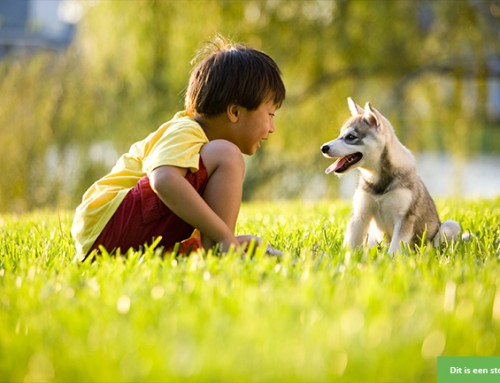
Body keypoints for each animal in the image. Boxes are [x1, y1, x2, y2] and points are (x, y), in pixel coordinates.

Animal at [322, 98, 458, 255]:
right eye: (340, 135)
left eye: (351, 137)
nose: (324, 148)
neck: (377, 179)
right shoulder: (360, 214)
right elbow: (350, 243)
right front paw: (345, 257)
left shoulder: (404, 218)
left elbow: (395, 248)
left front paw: (391, 259)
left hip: (450, 226)